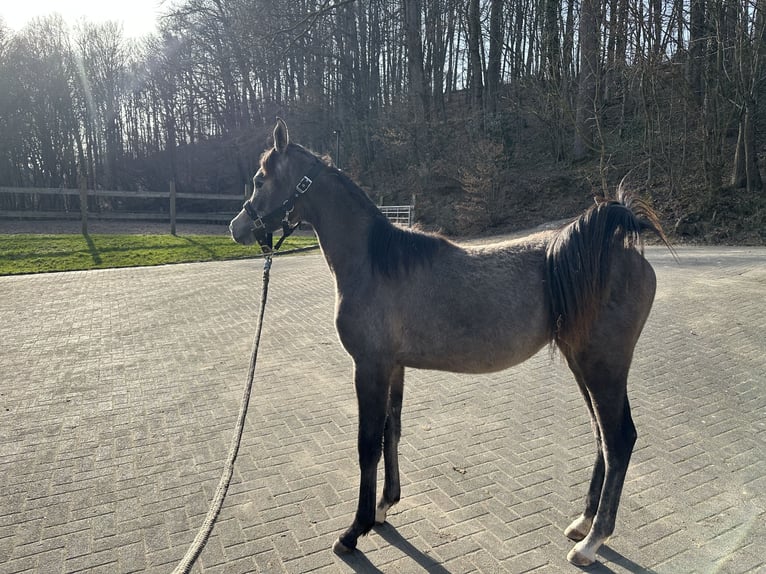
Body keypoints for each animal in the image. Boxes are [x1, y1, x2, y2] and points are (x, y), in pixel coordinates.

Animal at [229, 119, 672, 566]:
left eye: (260, 179)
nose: (237, 227)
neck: (374, 262)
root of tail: (622, 249)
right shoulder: (393, 367)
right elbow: (392, 431)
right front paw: (385, 506)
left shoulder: (369, 367)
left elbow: (367, 445)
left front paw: (355, 531)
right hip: (582, 363)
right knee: (603, 437)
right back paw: (583, 523)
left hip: (602, 366)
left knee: (618, 440)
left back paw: (592, 541)